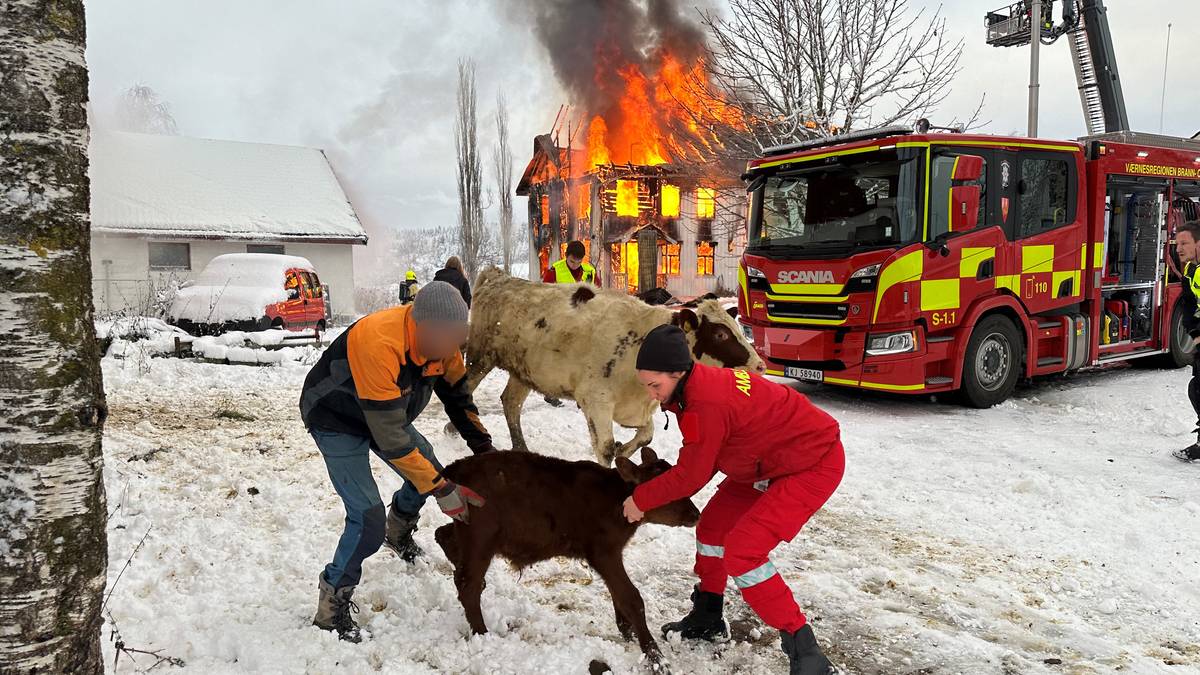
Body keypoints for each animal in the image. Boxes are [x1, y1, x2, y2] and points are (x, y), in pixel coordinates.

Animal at [434, 444, 700, 662]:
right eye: (668, 488)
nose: (696, 514)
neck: (617, 501)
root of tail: (456, 468)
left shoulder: (609, 553)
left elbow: (618, 592)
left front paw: (628, 631)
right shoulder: (604, 551)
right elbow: (630, 597)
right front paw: (655, 657)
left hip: (467, 528)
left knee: (444, 536)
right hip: (481, 536)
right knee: (468, 584)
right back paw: (482, 632)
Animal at [463, 265, 763, 466]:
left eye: (737, 328)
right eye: (720, 334)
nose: (760, 365)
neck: (643, 343)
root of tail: (499, 277)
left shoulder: (635, 407)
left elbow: (647, 434)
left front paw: (624, 450)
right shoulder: (596, 400)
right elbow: (605, 448)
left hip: (525, 370)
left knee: (510, 402)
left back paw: (521, 447)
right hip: (480, 357)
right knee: (467, 389)